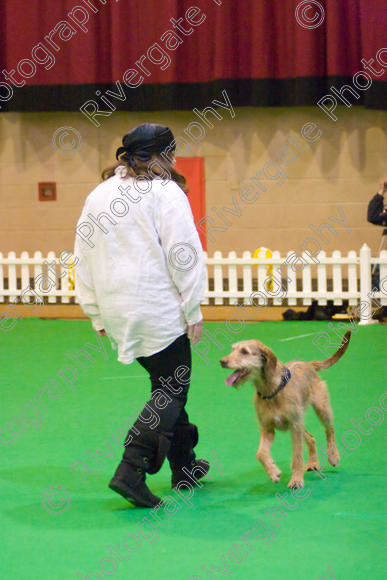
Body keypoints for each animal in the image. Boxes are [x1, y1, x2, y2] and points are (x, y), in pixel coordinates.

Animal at [221, 330, 352, 490]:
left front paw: (296, 480)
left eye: (244, 351)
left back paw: (333, 456)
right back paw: (313, 462)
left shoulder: (294, 426)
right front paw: (273, 471)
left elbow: (297, 455)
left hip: (321, 409)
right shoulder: (268, 428)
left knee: (329, 430)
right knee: (311, 438)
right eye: (233, 349)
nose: (222, 361)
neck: (271, 391)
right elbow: (261, 453)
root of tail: (310, 364)